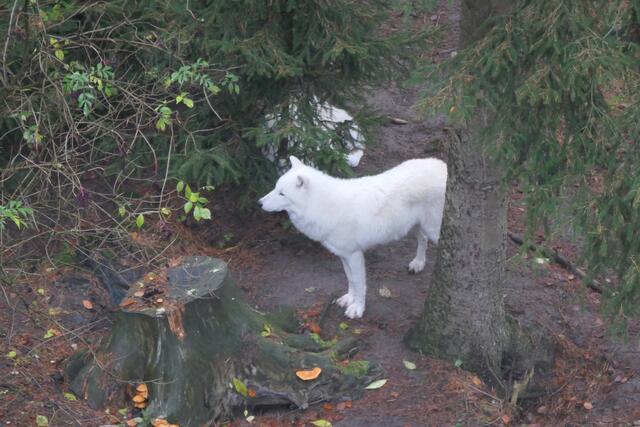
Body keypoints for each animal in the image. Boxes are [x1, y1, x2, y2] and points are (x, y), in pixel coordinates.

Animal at [259, 156, 447, 318]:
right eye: (275, 188)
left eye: (282, 194)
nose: (259, 203)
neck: (322, 206)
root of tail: (444, 166)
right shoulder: (343, 255)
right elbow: (350, 279)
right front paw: (349, 299)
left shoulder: (355, 255)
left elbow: (359, 282)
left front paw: (357, 309)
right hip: (414, 227)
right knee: (422, 239)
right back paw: (418, 264)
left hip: (433, 229)